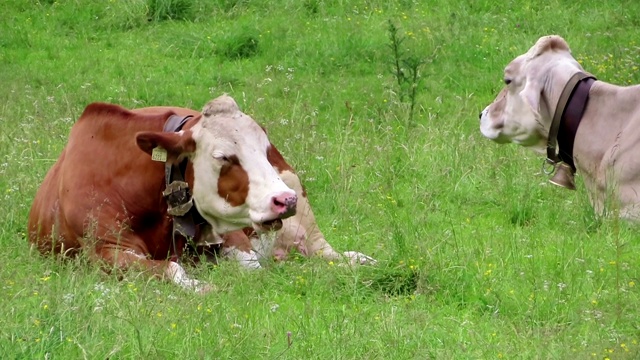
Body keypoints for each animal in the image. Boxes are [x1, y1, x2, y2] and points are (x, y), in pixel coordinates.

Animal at [28, 94, 298, 292]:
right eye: (223, 157)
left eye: (265, 150)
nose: (286, 199)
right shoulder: (106, 250)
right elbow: (173, 269)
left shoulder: (229, 233)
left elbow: (253, 266)